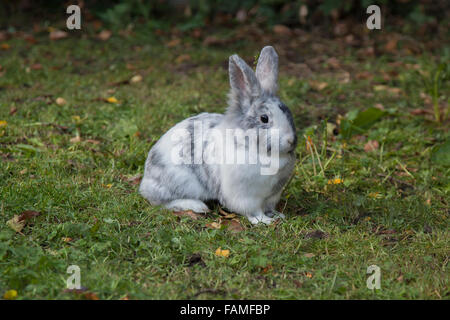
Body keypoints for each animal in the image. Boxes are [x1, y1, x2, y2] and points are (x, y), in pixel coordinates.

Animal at [139, 46, 298, 224]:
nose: (291, 140)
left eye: (288, 112)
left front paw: (277, 216)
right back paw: (197, 206)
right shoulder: (246, 197)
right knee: (161, 201)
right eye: (264, 118)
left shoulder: (272, 195)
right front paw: (264, 221)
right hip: (178, 183)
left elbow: (269, 207)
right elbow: (254, 211)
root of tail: (146, 179)